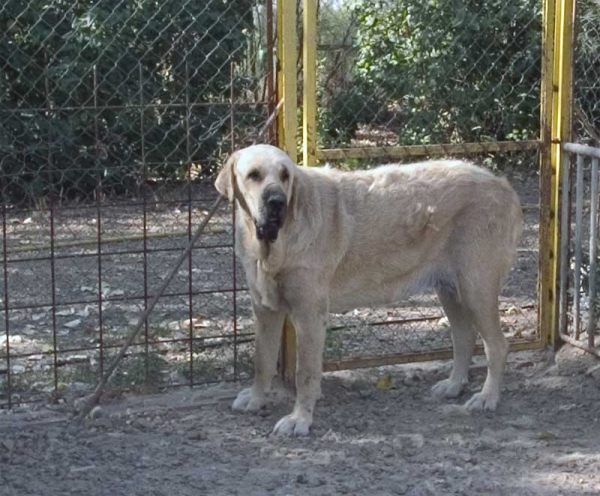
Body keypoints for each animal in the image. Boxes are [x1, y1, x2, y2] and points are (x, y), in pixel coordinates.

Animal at [214, 142, 520, 434]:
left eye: (285, 175)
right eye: (254, 175)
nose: (277, 202)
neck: (274, 244)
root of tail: (501, 184)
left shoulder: (309, 316)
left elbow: (305, 373)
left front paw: (300, 418)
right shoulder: (265, 311)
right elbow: (262, 361)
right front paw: (257, 399)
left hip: (476, 289)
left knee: (497, 346)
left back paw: (487, 397)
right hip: (451, 291)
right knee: (464, 338)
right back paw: (454, 385)